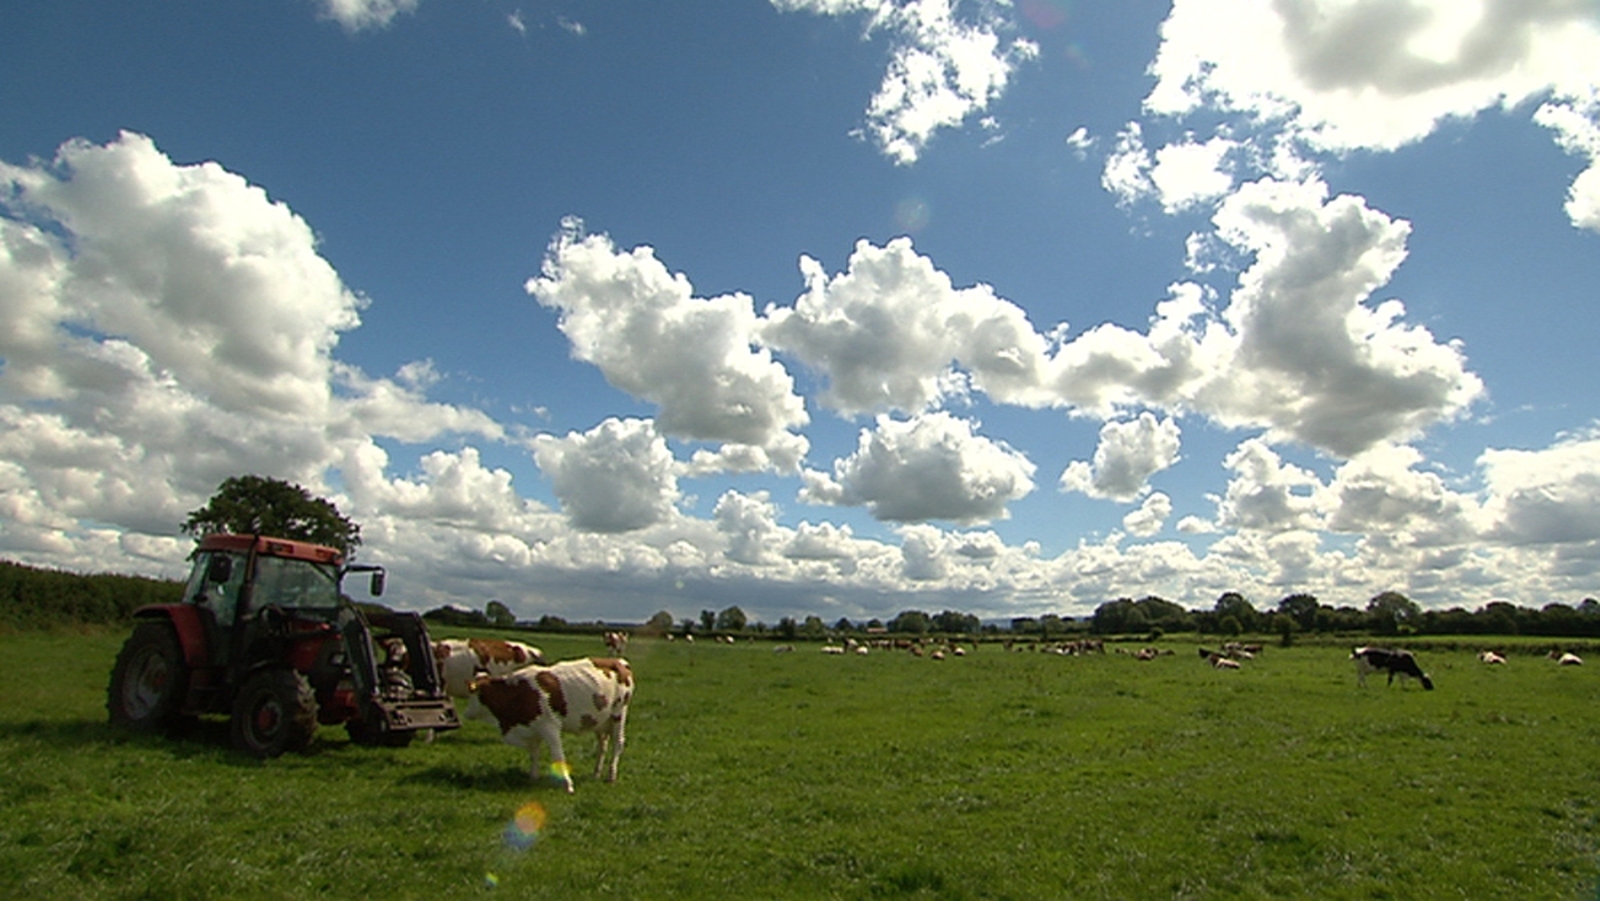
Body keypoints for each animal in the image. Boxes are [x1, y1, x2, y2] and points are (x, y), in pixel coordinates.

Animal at [466, 657, 634, 793]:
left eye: (473, 693)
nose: (466, 713)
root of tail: (619, 661)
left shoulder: (550, 727)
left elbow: (557, 754)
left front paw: (567, 784)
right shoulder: (531, 728)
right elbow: (534, 754)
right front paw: (533, 777)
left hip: (619, 713)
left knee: (617, 743)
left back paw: (611, 776)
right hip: (600, 721)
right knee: (602, 745)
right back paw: (596, 773)